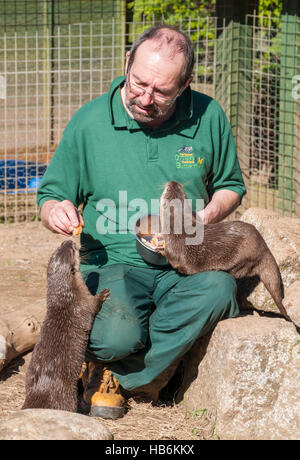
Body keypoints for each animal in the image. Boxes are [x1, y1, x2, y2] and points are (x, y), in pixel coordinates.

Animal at [22, 239, 109, 412]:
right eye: (71, 250)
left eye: (59, 248)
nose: (68, 240)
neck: (66, 296)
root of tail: (41, 390)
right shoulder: (84, 303)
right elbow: (95, 305)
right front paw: (103, 294)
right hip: (67, 397)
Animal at [159, 180, 290, 320]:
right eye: (180, 189)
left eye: (166, 191)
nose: (173, 182)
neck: (178, 226)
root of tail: (264, 247)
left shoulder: (175, 247)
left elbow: (174, 259)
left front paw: (161, 249)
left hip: (243, 256)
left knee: (237, 271)